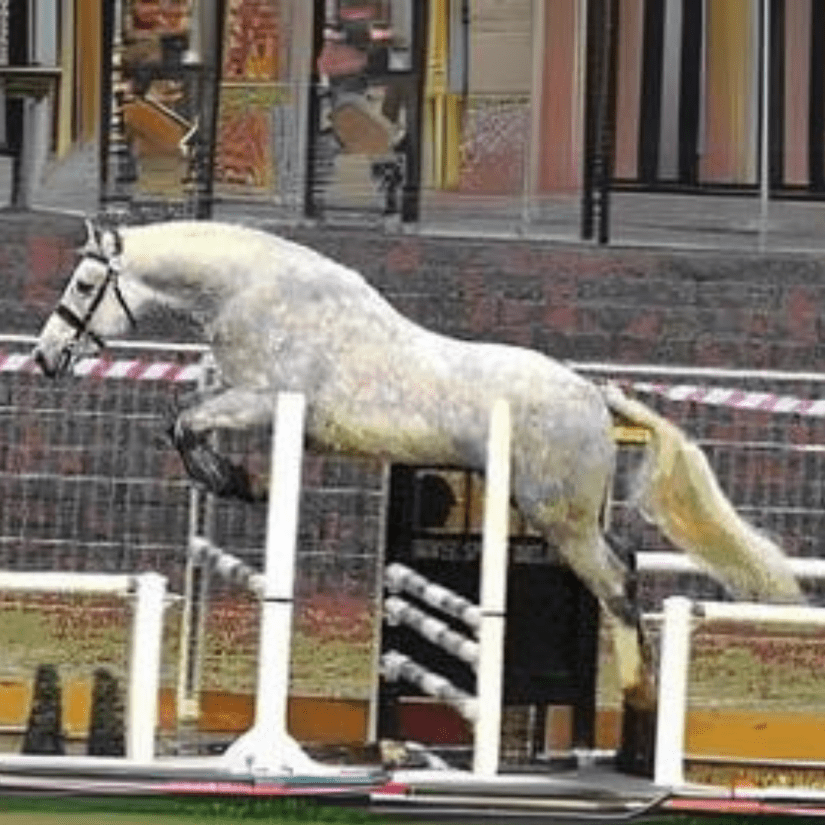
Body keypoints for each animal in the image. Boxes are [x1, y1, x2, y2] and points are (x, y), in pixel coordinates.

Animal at [31, 219, 804, 705]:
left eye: (82, 287)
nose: (44, 357)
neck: (254, 292)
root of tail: (595, 396)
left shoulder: (264, 402)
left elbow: (184, 422)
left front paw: (241, 482)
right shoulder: (242, 398)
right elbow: (186, 419)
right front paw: (238, 481)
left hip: (558, 517)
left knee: (613, 580)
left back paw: (639, 693)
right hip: (567, 513)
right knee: (625, 563)